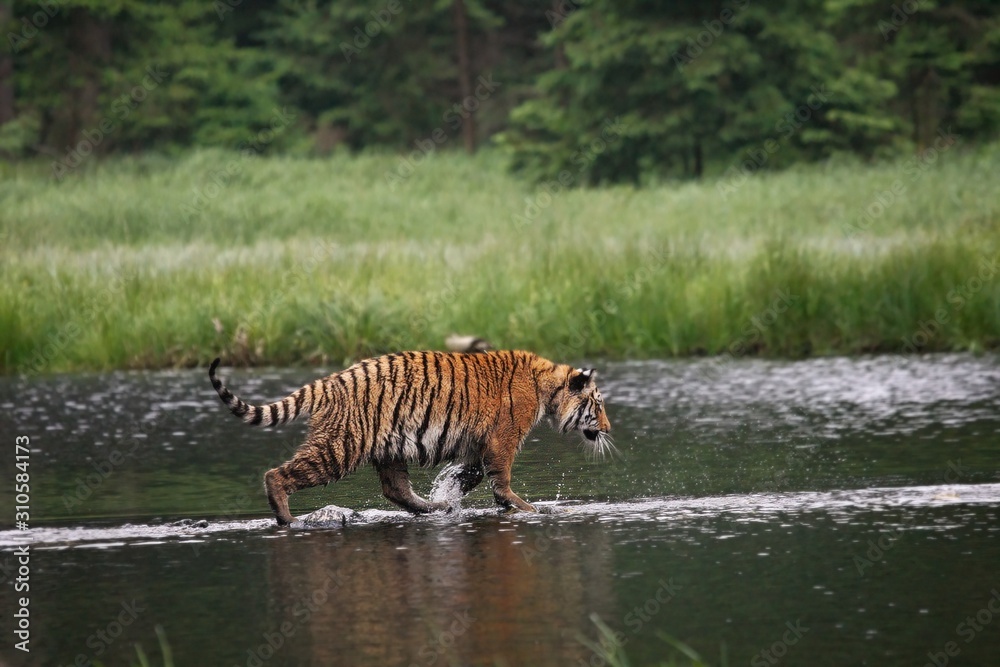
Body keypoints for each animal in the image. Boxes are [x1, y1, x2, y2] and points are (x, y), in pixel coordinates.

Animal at [208, 350, 613, 526]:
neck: (547, 385)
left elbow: (471, 474)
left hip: (387, 450)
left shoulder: (477, 444)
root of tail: (330, 381)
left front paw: (451, 492)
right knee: (276, 474)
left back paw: (436, 508)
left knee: (396, 490)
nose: (608, 429)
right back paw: (286, 519)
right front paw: (527, 507)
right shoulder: (503, 438)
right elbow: (501, 481)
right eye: (597, 404)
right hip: (339, 446)